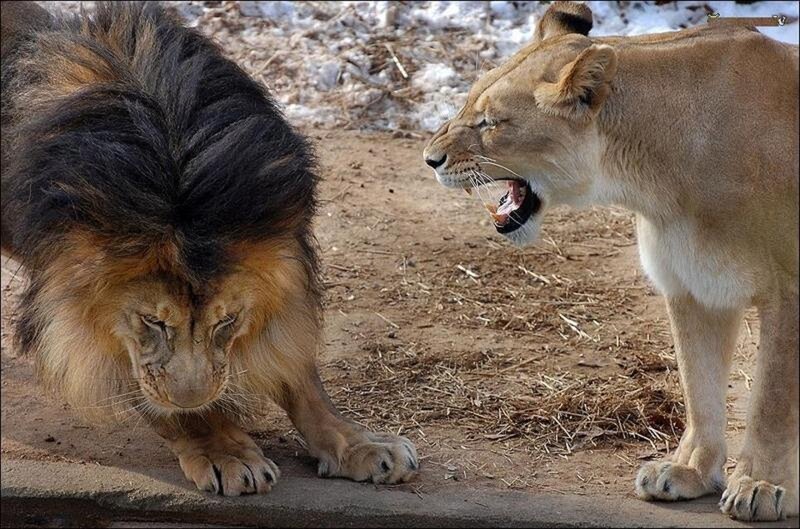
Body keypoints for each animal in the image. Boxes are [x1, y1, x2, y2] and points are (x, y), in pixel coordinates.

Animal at [1, 1, 417, 496]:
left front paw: (361, 445)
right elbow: (163, 400)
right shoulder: (74, 311)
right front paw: (225, 451)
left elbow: (302, 377)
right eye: (153, 321)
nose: (192, 398)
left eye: (229, 320)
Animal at [423, 1, 798, 522]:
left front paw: (762, 485)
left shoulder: (789, 290)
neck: (658, 182)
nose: (430, 159)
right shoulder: (694, 285)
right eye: (468, 105)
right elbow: (698, 386)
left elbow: (772, 401)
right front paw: (691, 472)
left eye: (491, 123)